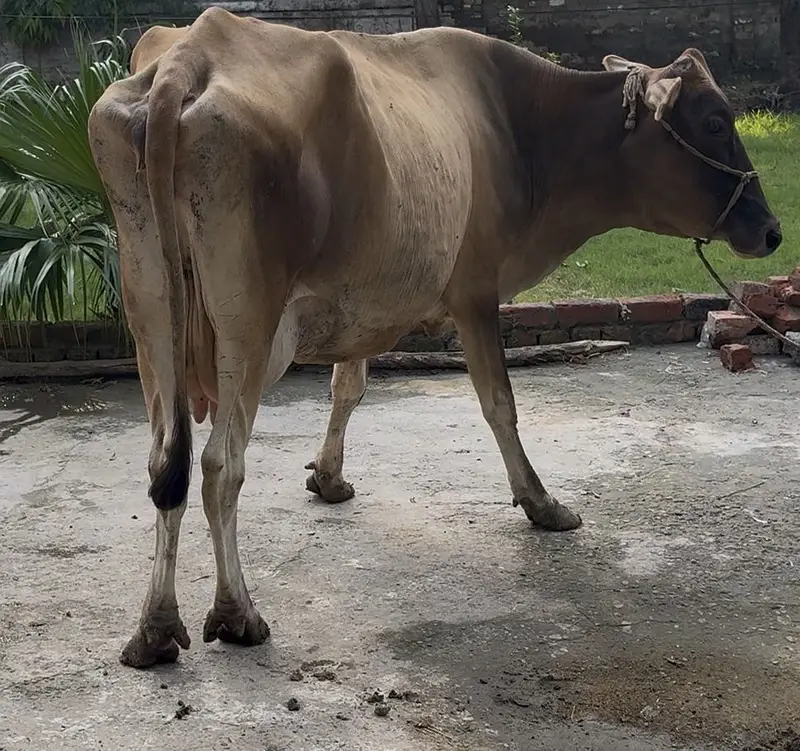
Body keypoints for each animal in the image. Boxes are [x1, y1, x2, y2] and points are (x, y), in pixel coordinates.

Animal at [88, 7, 782, 668]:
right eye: (715, 123)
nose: (773, 230)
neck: (520, 130)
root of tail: (189, 57)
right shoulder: (476, 288)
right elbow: (500, 404)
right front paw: (542, 503)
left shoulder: (364, 296)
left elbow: (348, 386)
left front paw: (328, 478)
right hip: (247, 324)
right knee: (218, 465)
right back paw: (237, 613)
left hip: (152, 311)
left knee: (165, 461)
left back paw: (154, 629)